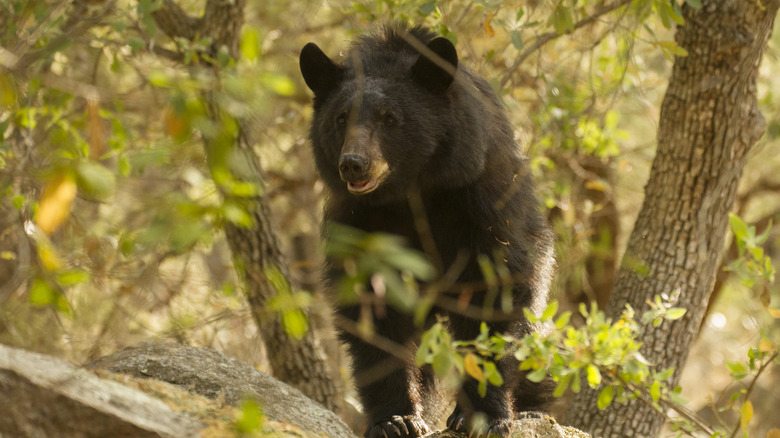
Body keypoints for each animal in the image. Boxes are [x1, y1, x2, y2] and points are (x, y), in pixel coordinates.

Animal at [298, 24, 556, 438]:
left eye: (389, 118)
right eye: (340, 119)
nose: (353, 164)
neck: (411, 191)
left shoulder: (478, 198)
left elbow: (494, 289)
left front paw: (481, 416)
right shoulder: (361, 221)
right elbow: (373, 306)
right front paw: (395, 419)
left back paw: (532, 408)